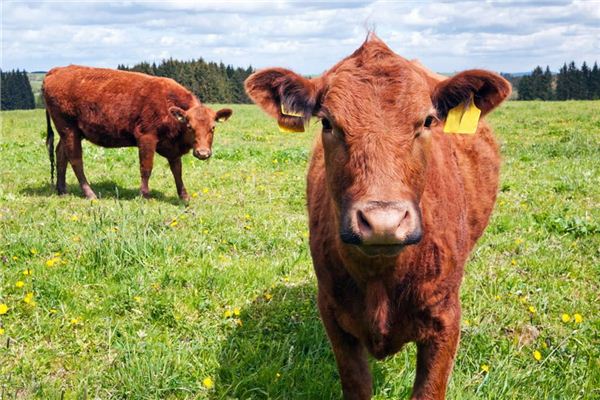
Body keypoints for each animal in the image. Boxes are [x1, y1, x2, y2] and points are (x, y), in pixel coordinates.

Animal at [42, 66, 233, 203]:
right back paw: (90, 194)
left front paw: (184, 196)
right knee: (75, 160)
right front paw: (145, 195)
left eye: (213, 127)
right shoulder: (146, 138)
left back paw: (62, 190)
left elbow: (177, 171)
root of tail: (57, 70)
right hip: (68, 129)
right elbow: (146, 168)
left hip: (70, 133)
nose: (203, 153)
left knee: (61, 154)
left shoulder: (173, 149)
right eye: (190, 126)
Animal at [246, 35, 508, 400]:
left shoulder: (446, 319)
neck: (382, 279)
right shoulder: (334, 315)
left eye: (427, 121)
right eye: (327, 122)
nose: (384, 222)